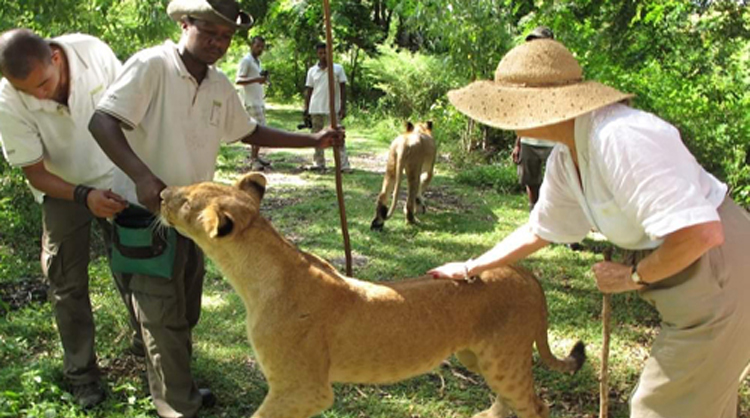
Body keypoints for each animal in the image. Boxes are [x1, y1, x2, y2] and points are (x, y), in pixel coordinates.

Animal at [159, 172, 586, 418]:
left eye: (186, 201)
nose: (162, 193)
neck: (257, 275)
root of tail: (525, 273)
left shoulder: (304, 388)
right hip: (479, 356)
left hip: (504, 358)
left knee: (536, 405)